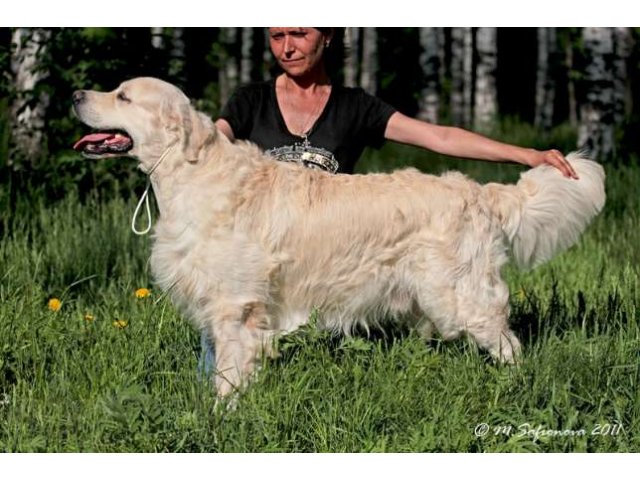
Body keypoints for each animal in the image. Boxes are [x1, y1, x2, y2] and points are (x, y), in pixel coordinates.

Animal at [72, 76, 608, 398]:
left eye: (122, 96)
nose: (76, 95)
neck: (195, 172)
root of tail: (481, 191)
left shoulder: (236, 306)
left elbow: (229, 373)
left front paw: (222, 418)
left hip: (462, 294)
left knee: (508, 343)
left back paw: (514, 389)